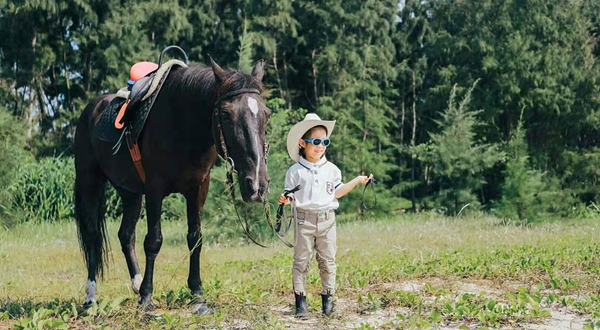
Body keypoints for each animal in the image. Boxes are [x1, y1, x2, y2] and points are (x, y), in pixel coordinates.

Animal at [74, 56, 270, 312]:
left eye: (266, 114)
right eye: (226, 115)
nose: (256, 185)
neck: (182, 126)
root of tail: (91, 109)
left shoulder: (198, 189)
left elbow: (195, 238)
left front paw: (197, 293)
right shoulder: (154, 190)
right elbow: (153, 241)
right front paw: (147, 297)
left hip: (129, 192)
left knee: (126, 235)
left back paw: (136, 283)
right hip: (90, 181)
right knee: (93, 237)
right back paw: (91, 298)